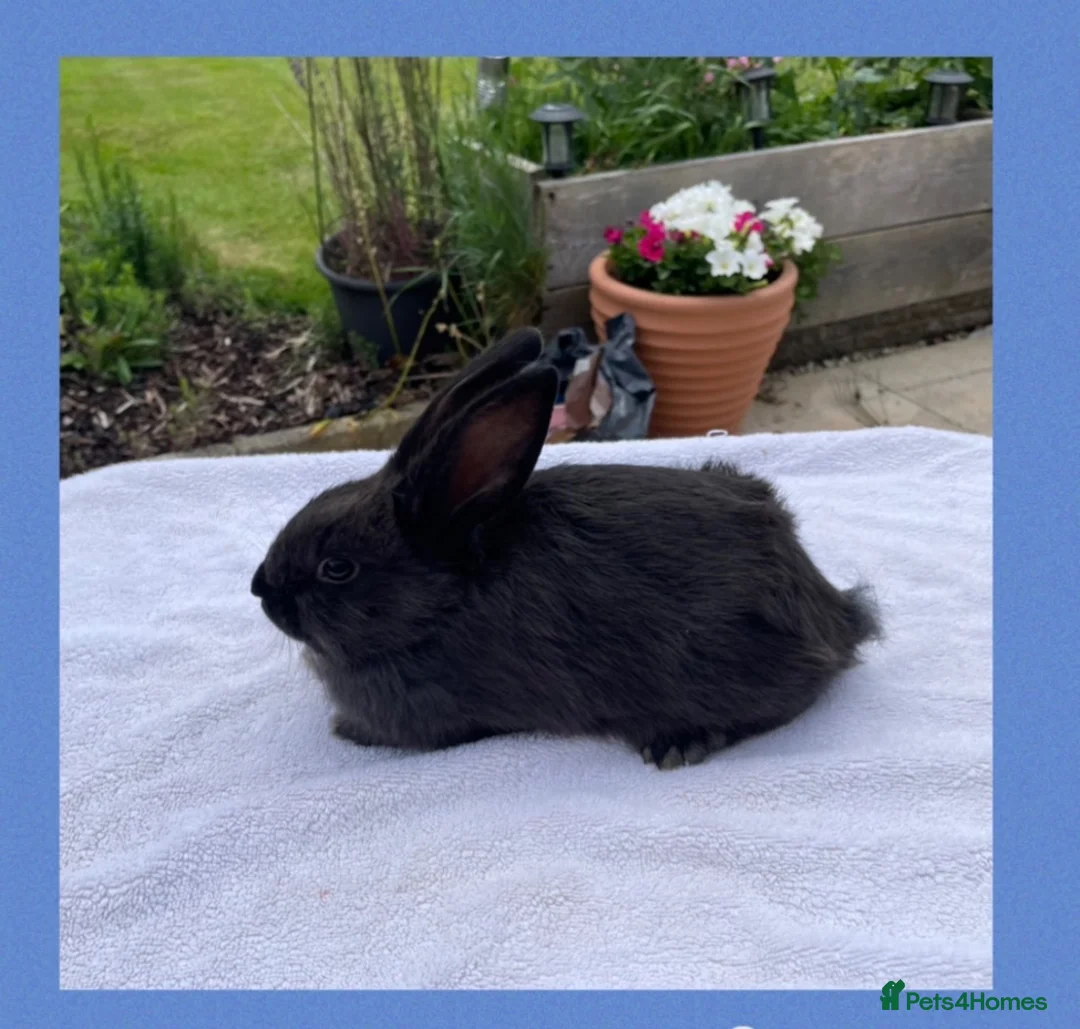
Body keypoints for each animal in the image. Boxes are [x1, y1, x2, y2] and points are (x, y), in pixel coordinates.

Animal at [251, 327, 880, 769]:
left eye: (337, 568)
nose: (260, 588)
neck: (439, 605)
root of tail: (835, 614)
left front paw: (345, 730)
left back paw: (680, 742)